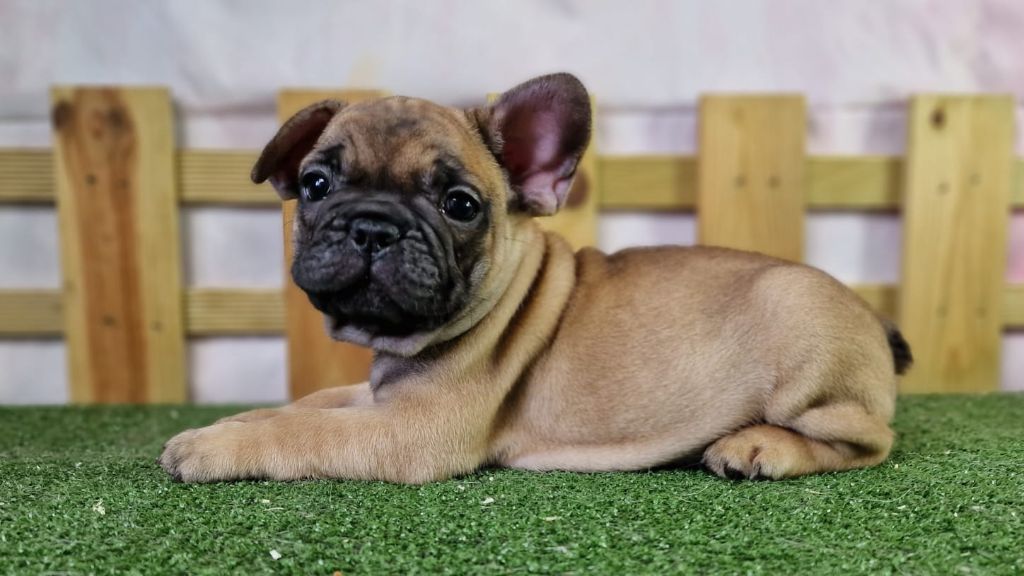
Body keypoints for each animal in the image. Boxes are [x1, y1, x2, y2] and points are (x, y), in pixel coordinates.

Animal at [159, 73, 911, 483]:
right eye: (315, 185)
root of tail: (873, 320)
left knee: (868, 442)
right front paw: (241, 416)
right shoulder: (378, 397)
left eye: (460, 205)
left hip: (804, 346)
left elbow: (305, 434)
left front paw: (213, 443)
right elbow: (310, 404)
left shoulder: (408, 429)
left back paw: (757, 445)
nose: (373, 225)